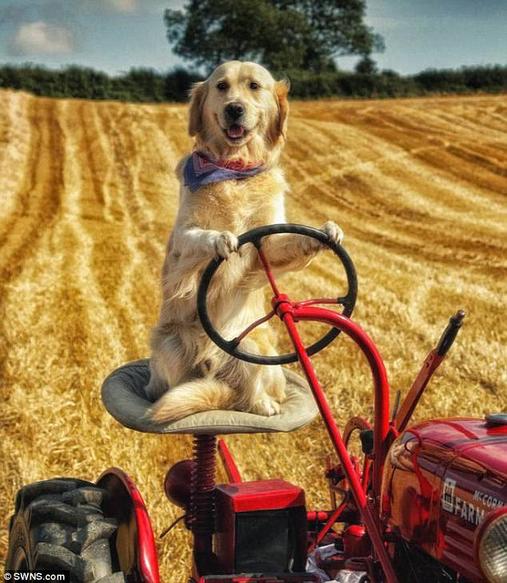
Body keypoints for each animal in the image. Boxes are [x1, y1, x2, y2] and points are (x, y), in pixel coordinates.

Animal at [147, 61, 346, 422]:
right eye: (221, 87)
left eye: (254, 86)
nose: (234, 109)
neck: (234, 169)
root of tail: (212, 360)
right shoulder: (183, 237)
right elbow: (200, 236)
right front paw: (220, 239)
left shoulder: (268, 241)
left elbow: (289, 240)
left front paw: (328, 230)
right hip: (170, 346)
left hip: (254, 349)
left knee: (248, 392)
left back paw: (263, 404)